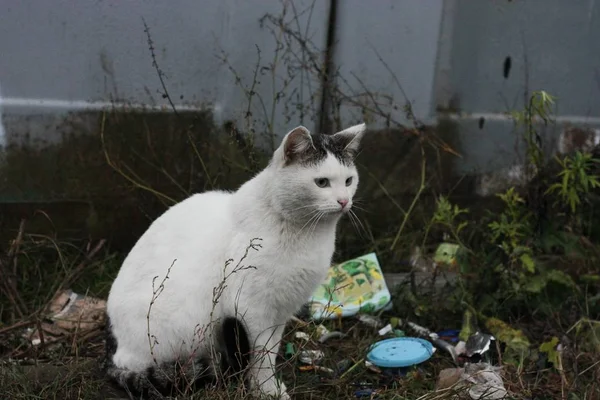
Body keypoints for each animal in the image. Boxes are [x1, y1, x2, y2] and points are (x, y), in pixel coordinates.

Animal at [103, 123, 366, 398]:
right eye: (322, 182)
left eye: (348, 180)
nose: (344, 201)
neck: (306, 232)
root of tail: (112, 353)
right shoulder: (251, 309)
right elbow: (261, 356)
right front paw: (265, 390)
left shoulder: (279, 311)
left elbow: (271, 351)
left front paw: (269, 385)